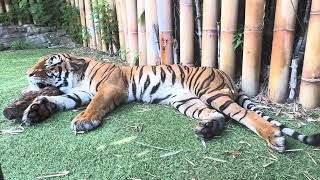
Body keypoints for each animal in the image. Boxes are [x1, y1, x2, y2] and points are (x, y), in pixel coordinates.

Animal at [20, 53, 320, 152]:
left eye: (50, 63)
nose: (28, 73)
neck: (78, 77)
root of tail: (227, 75)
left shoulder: (109, 88)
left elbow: (94, 106)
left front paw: (84, 121)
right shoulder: (80, 93)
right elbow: (59, 99)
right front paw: (35, 111)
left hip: (211, 93)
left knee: (243, 116)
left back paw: (274, 137)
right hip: (185, 101)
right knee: (218, 117)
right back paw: (206, 130)